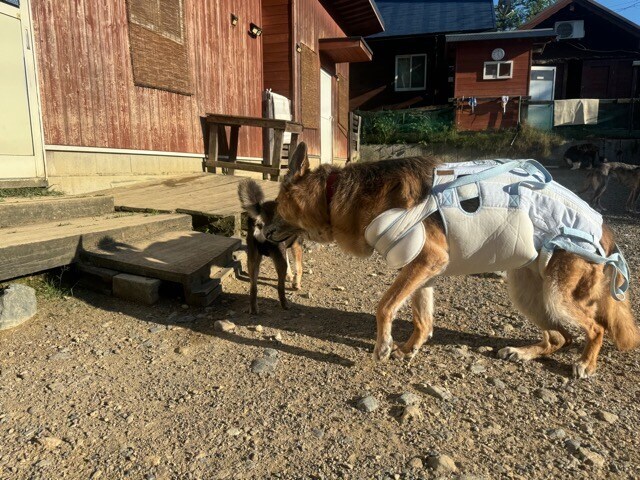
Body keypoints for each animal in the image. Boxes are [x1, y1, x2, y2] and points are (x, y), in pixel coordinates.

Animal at [238, 179, 303, 314]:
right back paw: (285, 305)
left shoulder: (284, 250)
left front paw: (290, 277)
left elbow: (290, 266)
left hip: (253, 259)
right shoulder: (296, 246)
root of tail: (261, 217)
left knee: (253, 288)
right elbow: (299, 268)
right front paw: (296, 284)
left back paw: (254, 309)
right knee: (280, 287)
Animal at [265, 143, 639, 378]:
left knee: (595, 328)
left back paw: (586, 363)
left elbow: (384, 306)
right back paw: (523, 352)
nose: (262, 229)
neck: (334, 196)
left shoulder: (427, 260)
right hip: (529, 293)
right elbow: (422, 320)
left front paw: (384, 345)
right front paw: (410, 348)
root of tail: (604, 230)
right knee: (559, 337)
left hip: (558, 295)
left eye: (276, 206)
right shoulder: (423, 270)